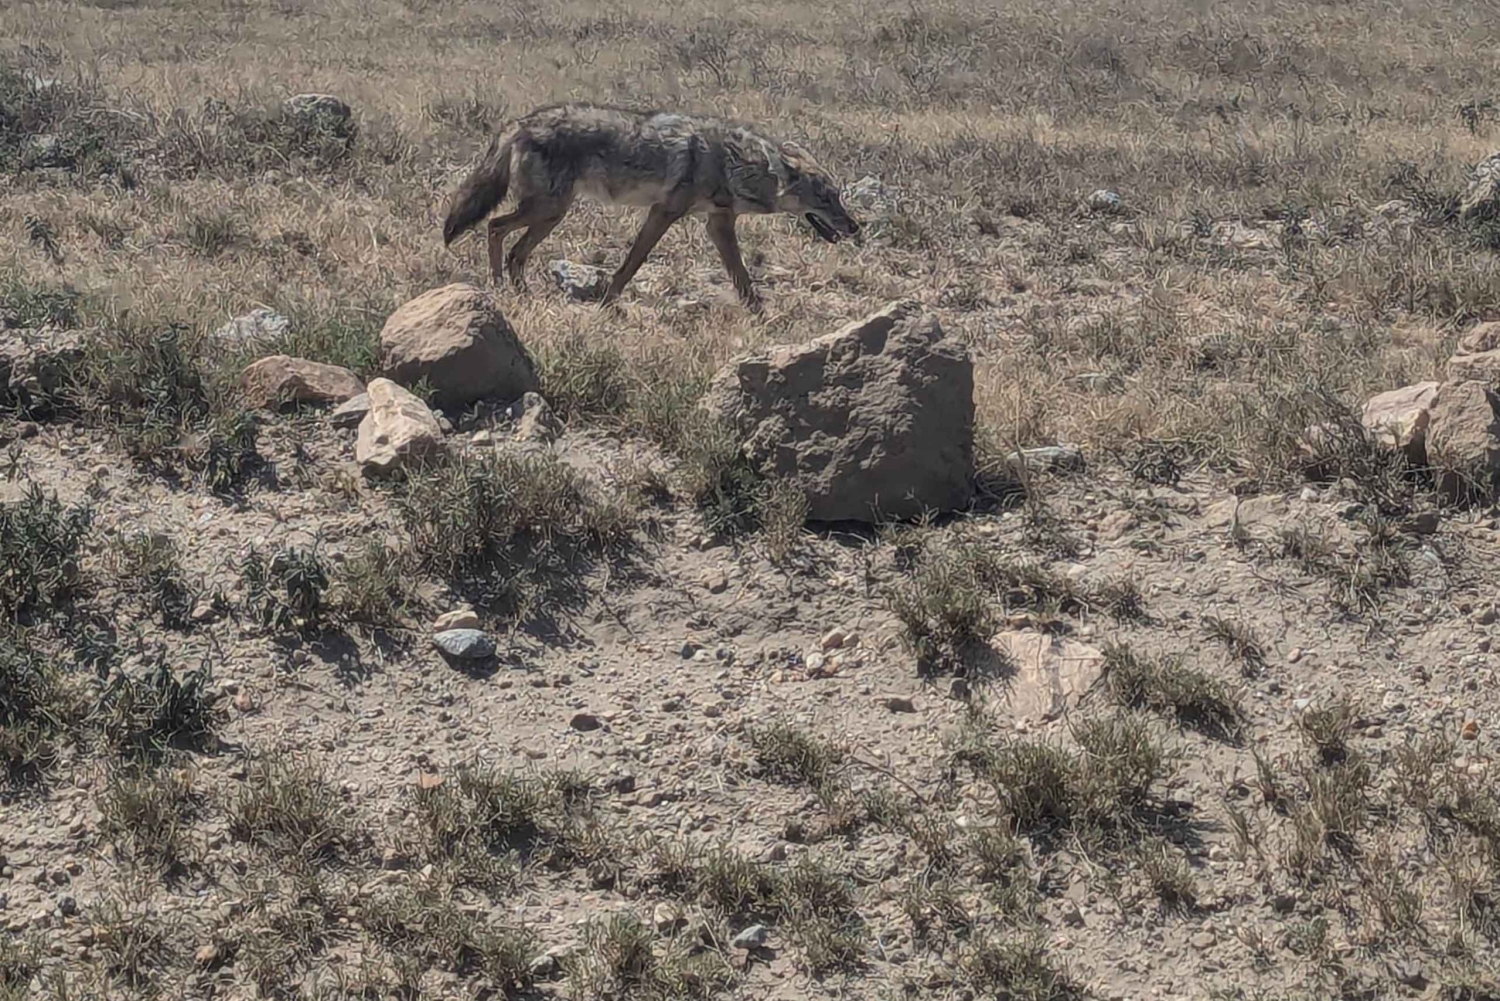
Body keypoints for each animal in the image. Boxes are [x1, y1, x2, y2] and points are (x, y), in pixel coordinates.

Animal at [441, 102, 860, 310]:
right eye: (825, 197)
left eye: (837, 195)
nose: (856, 227)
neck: (735, 163)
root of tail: (520, 122)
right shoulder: (664, 213)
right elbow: (632, 262)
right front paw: (609, 302)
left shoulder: (718, 223)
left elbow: (742, 276)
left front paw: (758, 312)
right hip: (548, 211)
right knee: (495, 227)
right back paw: (499, 288)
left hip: (550, 215)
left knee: (513, 247)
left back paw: (519, 293)